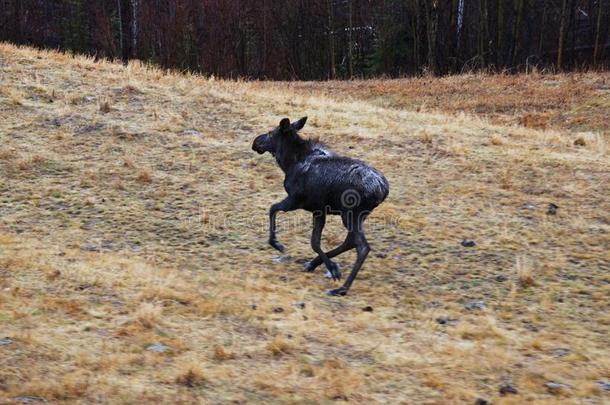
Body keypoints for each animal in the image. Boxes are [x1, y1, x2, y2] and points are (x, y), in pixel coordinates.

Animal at [249, 115, 388, 296]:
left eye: (271, 133)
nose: (256, 142)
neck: (288, 163)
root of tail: (383, 189)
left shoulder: (296, 200)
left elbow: (273, 209)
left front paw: (276, 244)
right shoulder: (319, 210)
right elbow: (315, 241)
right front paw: (326, 266)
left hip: (351, 214)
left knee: (362, 247)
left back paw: (342, 288)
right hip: (358, 216)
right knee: (350, 241)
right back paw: (315, 265)